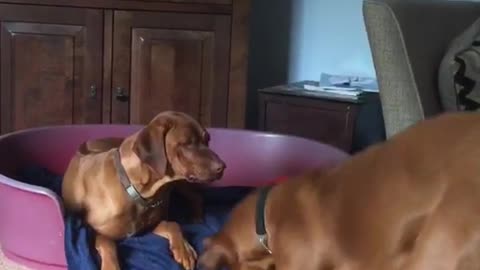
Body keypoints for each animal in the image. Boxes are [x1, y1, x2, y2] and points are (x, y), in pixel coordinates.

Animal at [62, 110, 226, 268]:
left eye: (207, 140)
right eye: (187, 143)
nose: (222, 167)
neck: (140, 192)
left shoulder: (150, 226)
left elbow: (172, 224)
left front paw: (184, 249)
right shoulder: (96, 231)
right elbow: (107, 243)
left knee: (197, 196)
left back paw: (196, 218)